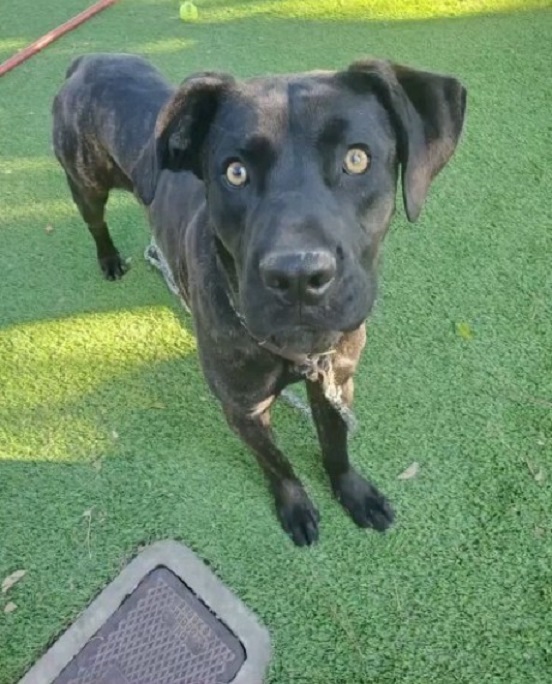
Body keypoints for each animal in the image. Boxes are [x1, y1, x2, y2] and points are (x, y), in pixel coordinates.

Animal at [52, 52, 466, 544]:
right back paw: (110, 259)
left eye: (357, 158)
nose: (298, 275)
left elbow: (336, 447)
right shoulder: (243, 410)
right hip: (84, 184)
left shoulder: (335, 382)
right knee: (95, 222)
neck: (299, 349)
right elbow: (276, 463)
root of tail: (88, 59)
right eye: (235, 172)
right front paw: (295, 506)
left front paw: (353, 491)